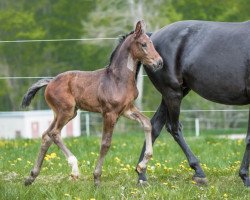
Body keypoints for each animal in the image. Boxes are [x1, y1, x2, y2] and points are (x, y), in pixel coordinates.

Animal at [21, 20, 162, 186]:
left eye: (151, 43)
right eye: (143, 44)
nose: (159, 62)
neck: (118, 79)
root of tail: (50, 82)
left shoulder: (127, 109)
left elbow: (147, 123)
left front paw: (141, 165)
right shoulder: (109, 113)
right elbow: (105, 143)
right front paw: (96, 178)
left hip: (65, 113)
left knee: (46, 135)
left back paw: (31, 177)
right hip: (66, 111)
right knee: (54, 133)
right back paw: (74, 170)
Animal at [138, 19, 250, 186]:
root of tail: (153, 36)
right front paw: (245, 177)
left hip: (174, 93)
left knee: (154, 126)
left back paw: (141, 175)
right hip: (173, 93)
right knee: (173, 128)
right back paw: (199, 172)